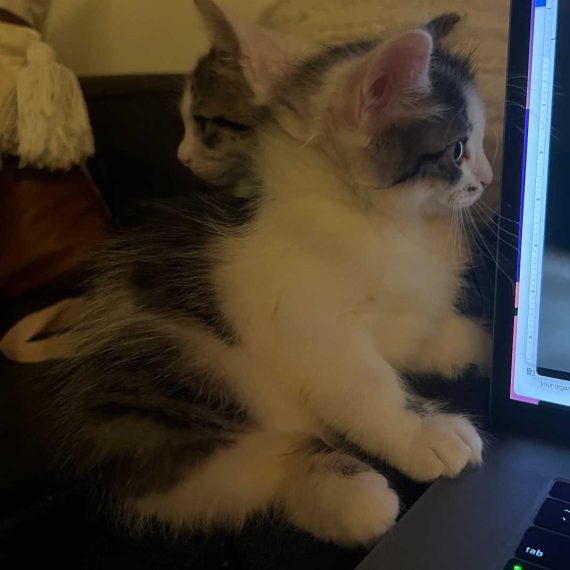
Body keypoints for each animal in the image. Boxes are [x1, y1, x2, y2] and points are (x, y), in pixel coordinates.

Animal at [37, 0, 492, 546]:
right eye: (459, 150)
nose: (489, 178)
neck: (381, 223)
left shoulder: (399, 303)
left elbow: (417, 333)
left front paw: (474, 342)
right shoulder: (310, 326)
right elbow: (372, 389)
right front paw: (427, 434)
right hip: (187, 375)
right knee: (229, 474)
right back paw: (354, 495)